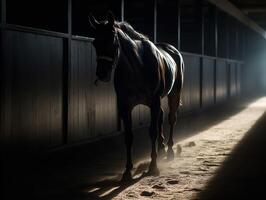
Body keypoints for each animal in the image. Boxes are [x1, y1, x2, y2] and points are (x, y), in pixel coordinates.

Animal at [88, 11, 184, 180]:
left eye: (112, 40)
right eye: (95, 42)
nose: (102, 74)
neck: (138, 66)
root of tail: (173, 51)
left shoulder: (154, 101)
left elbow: (152, 131)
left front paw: (153, 167)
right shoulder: (125, 106)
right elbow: (128, 136)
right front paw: (127, 171)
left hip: (173, 94)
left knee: (172, 118)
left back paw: (170, 150)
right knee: (161, 115)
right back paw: (161, 147)